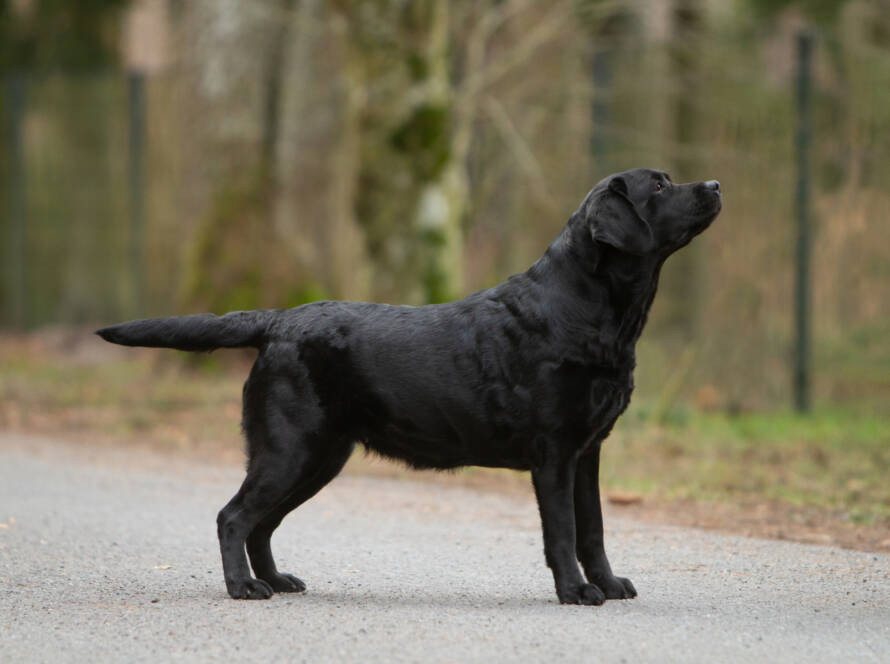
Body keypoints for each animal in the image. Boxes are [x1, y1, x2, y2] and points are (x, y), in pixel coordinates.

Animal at [97, 168, 721, 605]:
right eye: (659, 184)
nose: (715, 184)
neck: (586, 309)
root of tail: (277, 321)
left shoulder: (588, 452)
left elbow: (593, 529)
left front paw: (609, 584)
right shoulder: (554, 454)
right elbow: (564, 532)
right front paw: (575, 591)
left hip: (320, 457)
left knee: (261, 523)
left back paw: (275, 579)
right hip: (289, 449)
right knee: (234, 516)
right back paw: (243, 588)